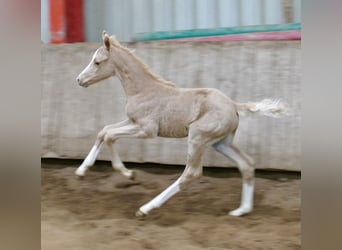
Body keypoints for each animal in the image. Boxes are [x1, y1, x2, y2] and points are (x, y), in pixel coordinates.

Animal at [76, 31, 288, 217]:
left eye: (97, 61)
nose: (79, 79)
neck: (143, 90)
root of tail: (234, 105)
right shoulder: (131, 121)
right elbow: (104, 131)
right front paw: (81, 171)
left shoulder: (147, 130)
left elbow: (110, 136)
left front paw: (128, 174)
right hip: (221, 143)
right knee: (247, 164)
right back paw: (241, 210)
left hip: (197, 137)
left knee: (192, 173)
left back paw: (146, 208)